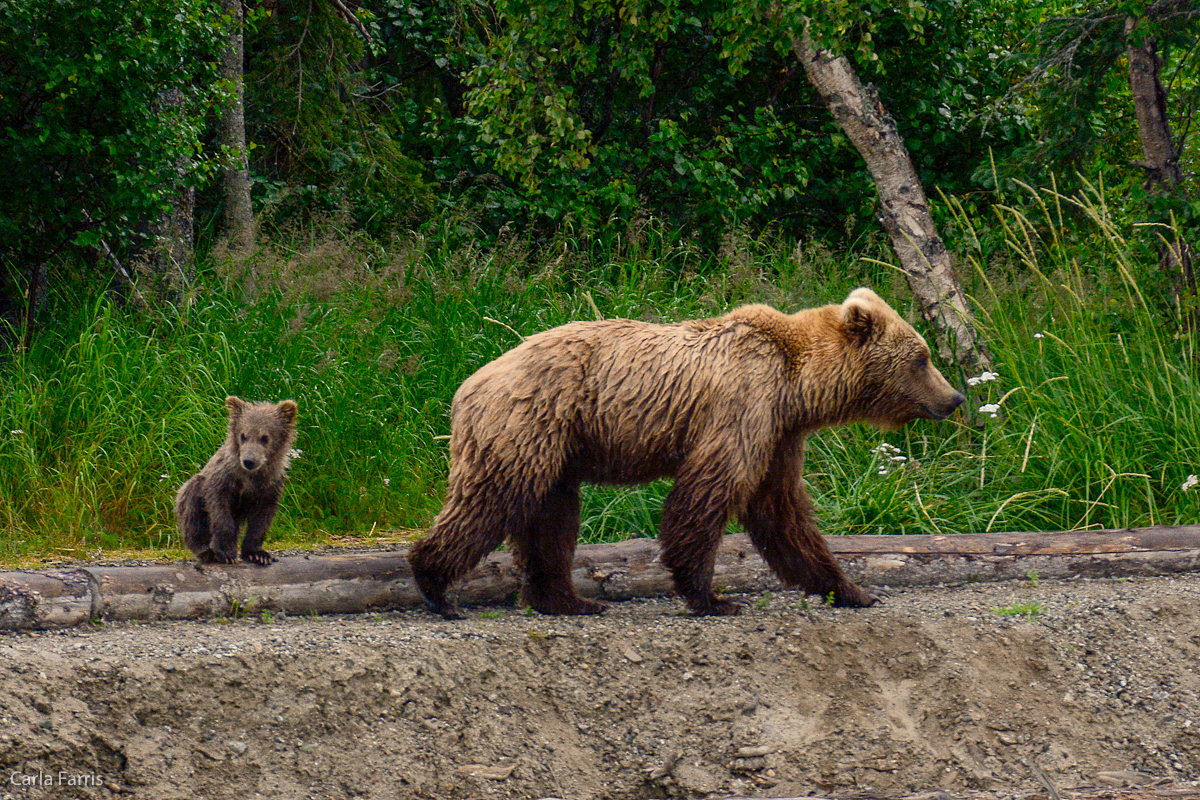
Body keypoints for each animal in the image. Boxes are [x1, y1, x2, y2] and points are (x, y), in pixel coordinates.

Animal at [412, 289, 964, 618]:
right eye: (922, 358)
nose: (955, 397)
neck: (798, 386)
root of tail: (467, 386)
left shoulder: (780, 432)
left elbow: (782, 511)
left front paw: (852, 589)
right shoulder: (743, 404)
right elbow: (709, 493)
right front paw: (712, 596)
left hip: (558, 447)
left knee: (551, 517)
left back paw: (566, 599)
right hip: (530, 423)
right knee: (495, 497)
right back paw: (434, 584)